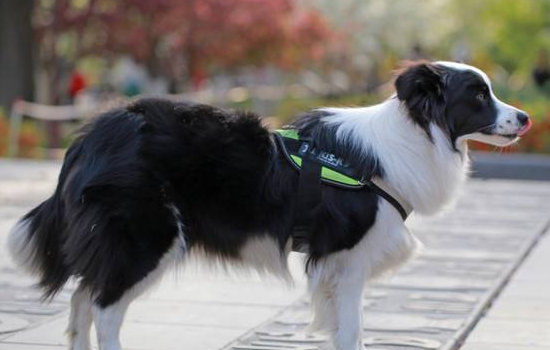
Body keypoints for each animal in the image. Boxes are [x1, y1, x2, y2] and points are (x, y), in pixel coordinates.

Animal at [8, 62, 532, 350]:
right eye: (478, 95)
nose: (526, 118)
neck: (416, 134)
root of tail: (91, 135)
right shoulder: (347, 260)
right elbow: (352, 330)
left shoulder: (334, 267)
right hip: (147, 238)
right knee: (103, 307)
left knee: (82, 298)